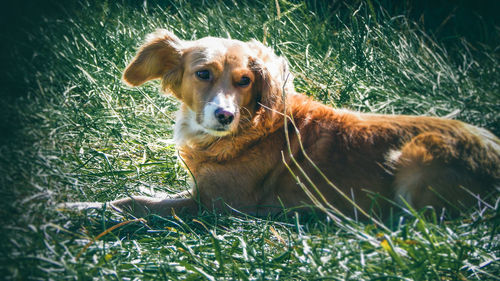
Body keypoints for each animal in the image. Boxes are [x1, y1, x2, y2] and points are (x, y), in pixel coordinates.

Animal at [92, 30, 498, 219]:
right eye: (203, 74)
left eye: (245, 80)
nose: (225, 115)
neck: (249, 129)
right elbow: (147, 194)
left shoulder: (214, 205)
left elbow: (133, 205)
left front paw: (85, 211)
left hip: (415, 159)